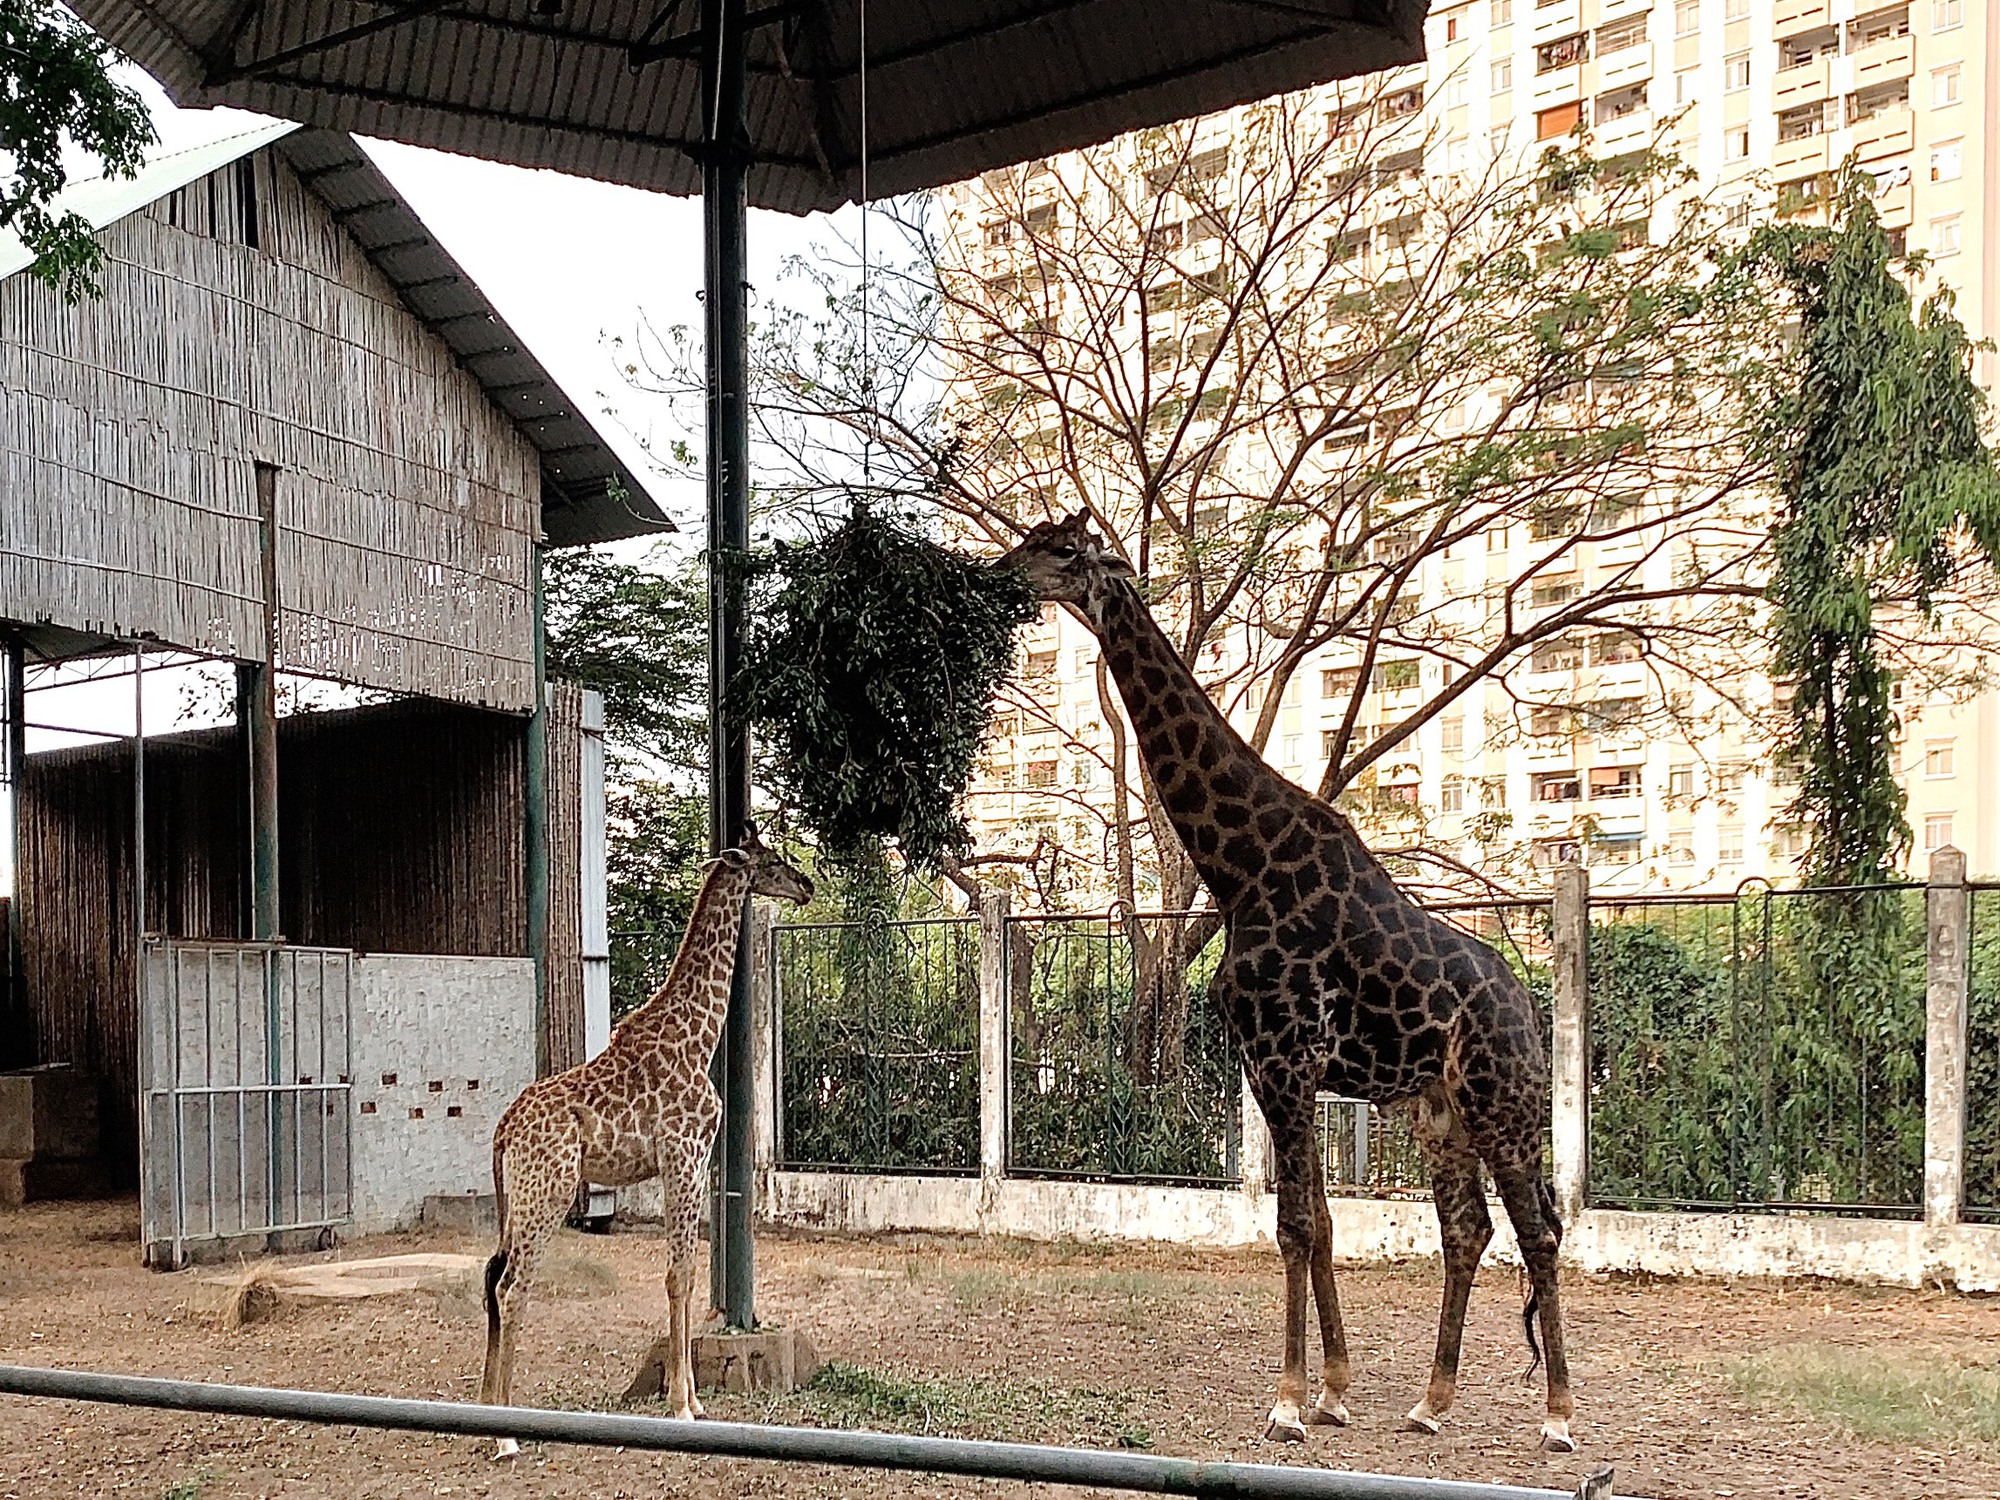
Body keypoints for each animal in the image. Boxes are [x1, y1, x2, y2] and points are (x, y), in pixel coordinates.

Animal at [478, 828, 812, 1448]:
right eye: (772, 861)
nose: (805, 885)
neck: (700, 1035)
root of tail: (503, 1130)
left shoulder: (691, 1162)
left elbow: (686, 1272)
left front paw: (697, 1400)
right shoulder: (682, 1154)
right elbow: (678, 1276)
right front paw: (681, 1404)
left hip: (517, 1199)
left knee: (491, 1276)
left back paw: (485, 1409)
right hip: (548, 1192)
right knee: (512, 1287)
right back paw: (505, 1433)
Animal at [1000, 516, 1576, 1456]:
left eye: (1060, 551)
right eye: (1031, 539)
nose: (1000, 575)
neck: (1240, 865)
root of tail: (1528, 1005)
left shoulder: (1285, 1054)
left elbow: (1298, 1224)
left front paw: (1288, 1405)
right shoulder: (1267, 1062)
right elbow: (1321, 1220)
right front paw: (1334, 1391)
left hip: (1505, 1102)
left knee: (1539, 1230)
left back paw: (1559, 1416)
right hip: (1437, 1109)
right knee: (1469, 1229)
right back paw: (1431, 1402)